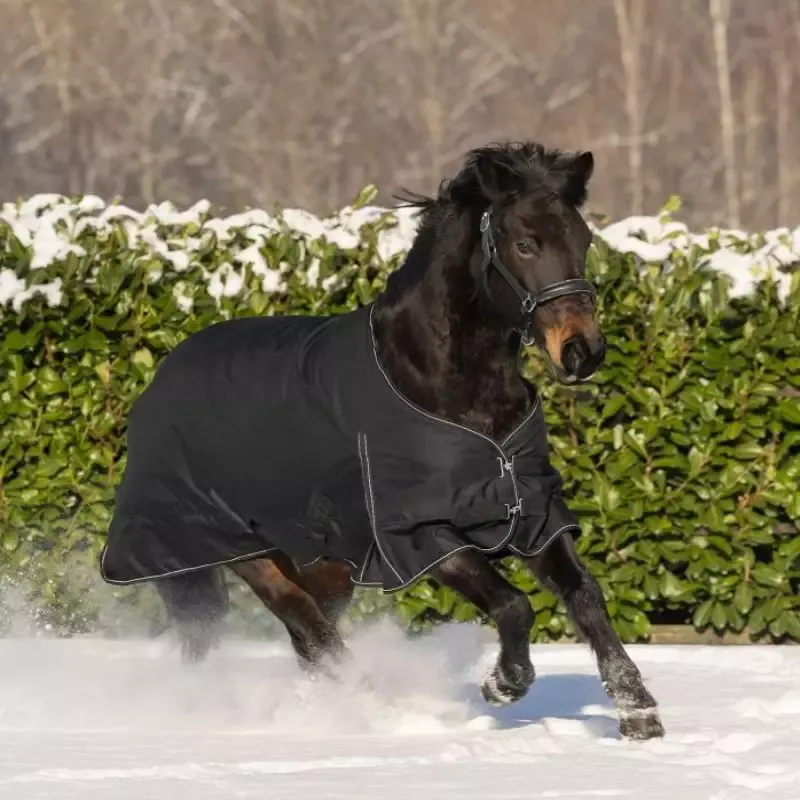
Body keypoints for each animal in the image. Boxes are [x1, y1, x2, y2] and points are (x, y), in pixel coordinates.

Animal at [100, 141, 665, 741]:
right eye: (525, 243)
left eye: (583, 240)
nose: (582, 352)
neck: (442, 378)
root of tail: (159, 382)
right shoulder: (421, 535)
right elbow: (514, 605)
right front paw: (504, 683)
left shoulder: (531, 513)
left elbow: (585, 596)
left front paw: (638, 711)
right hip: (239, 550)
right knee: (310, 628)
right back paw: (372, 709)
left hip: (324, 563)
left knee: (308, 636)